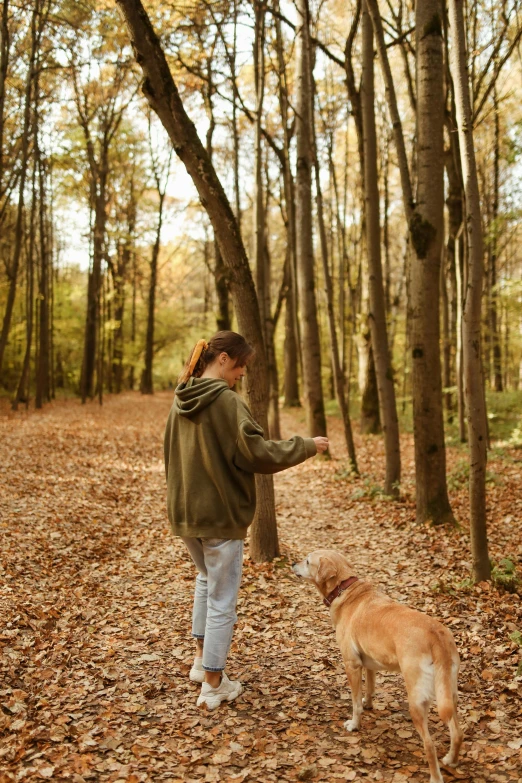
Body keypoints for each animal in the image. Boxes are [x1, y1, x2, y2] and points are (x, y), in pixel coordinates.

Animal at [290, 552, 462, 783]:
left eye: (308, 561)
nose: (292, 563)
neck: (345, 589)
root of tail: (437, 634)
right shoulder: (368, 663)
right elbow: (370, 688)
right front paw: (369, 704)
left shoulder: (352, 665)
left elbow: (355, 703)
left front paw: (354, 724)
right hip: (448, 694)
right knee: (457, 733)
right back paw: (451, 759)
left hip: (417, 701)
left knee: (429, 744)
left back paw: (436, 777)